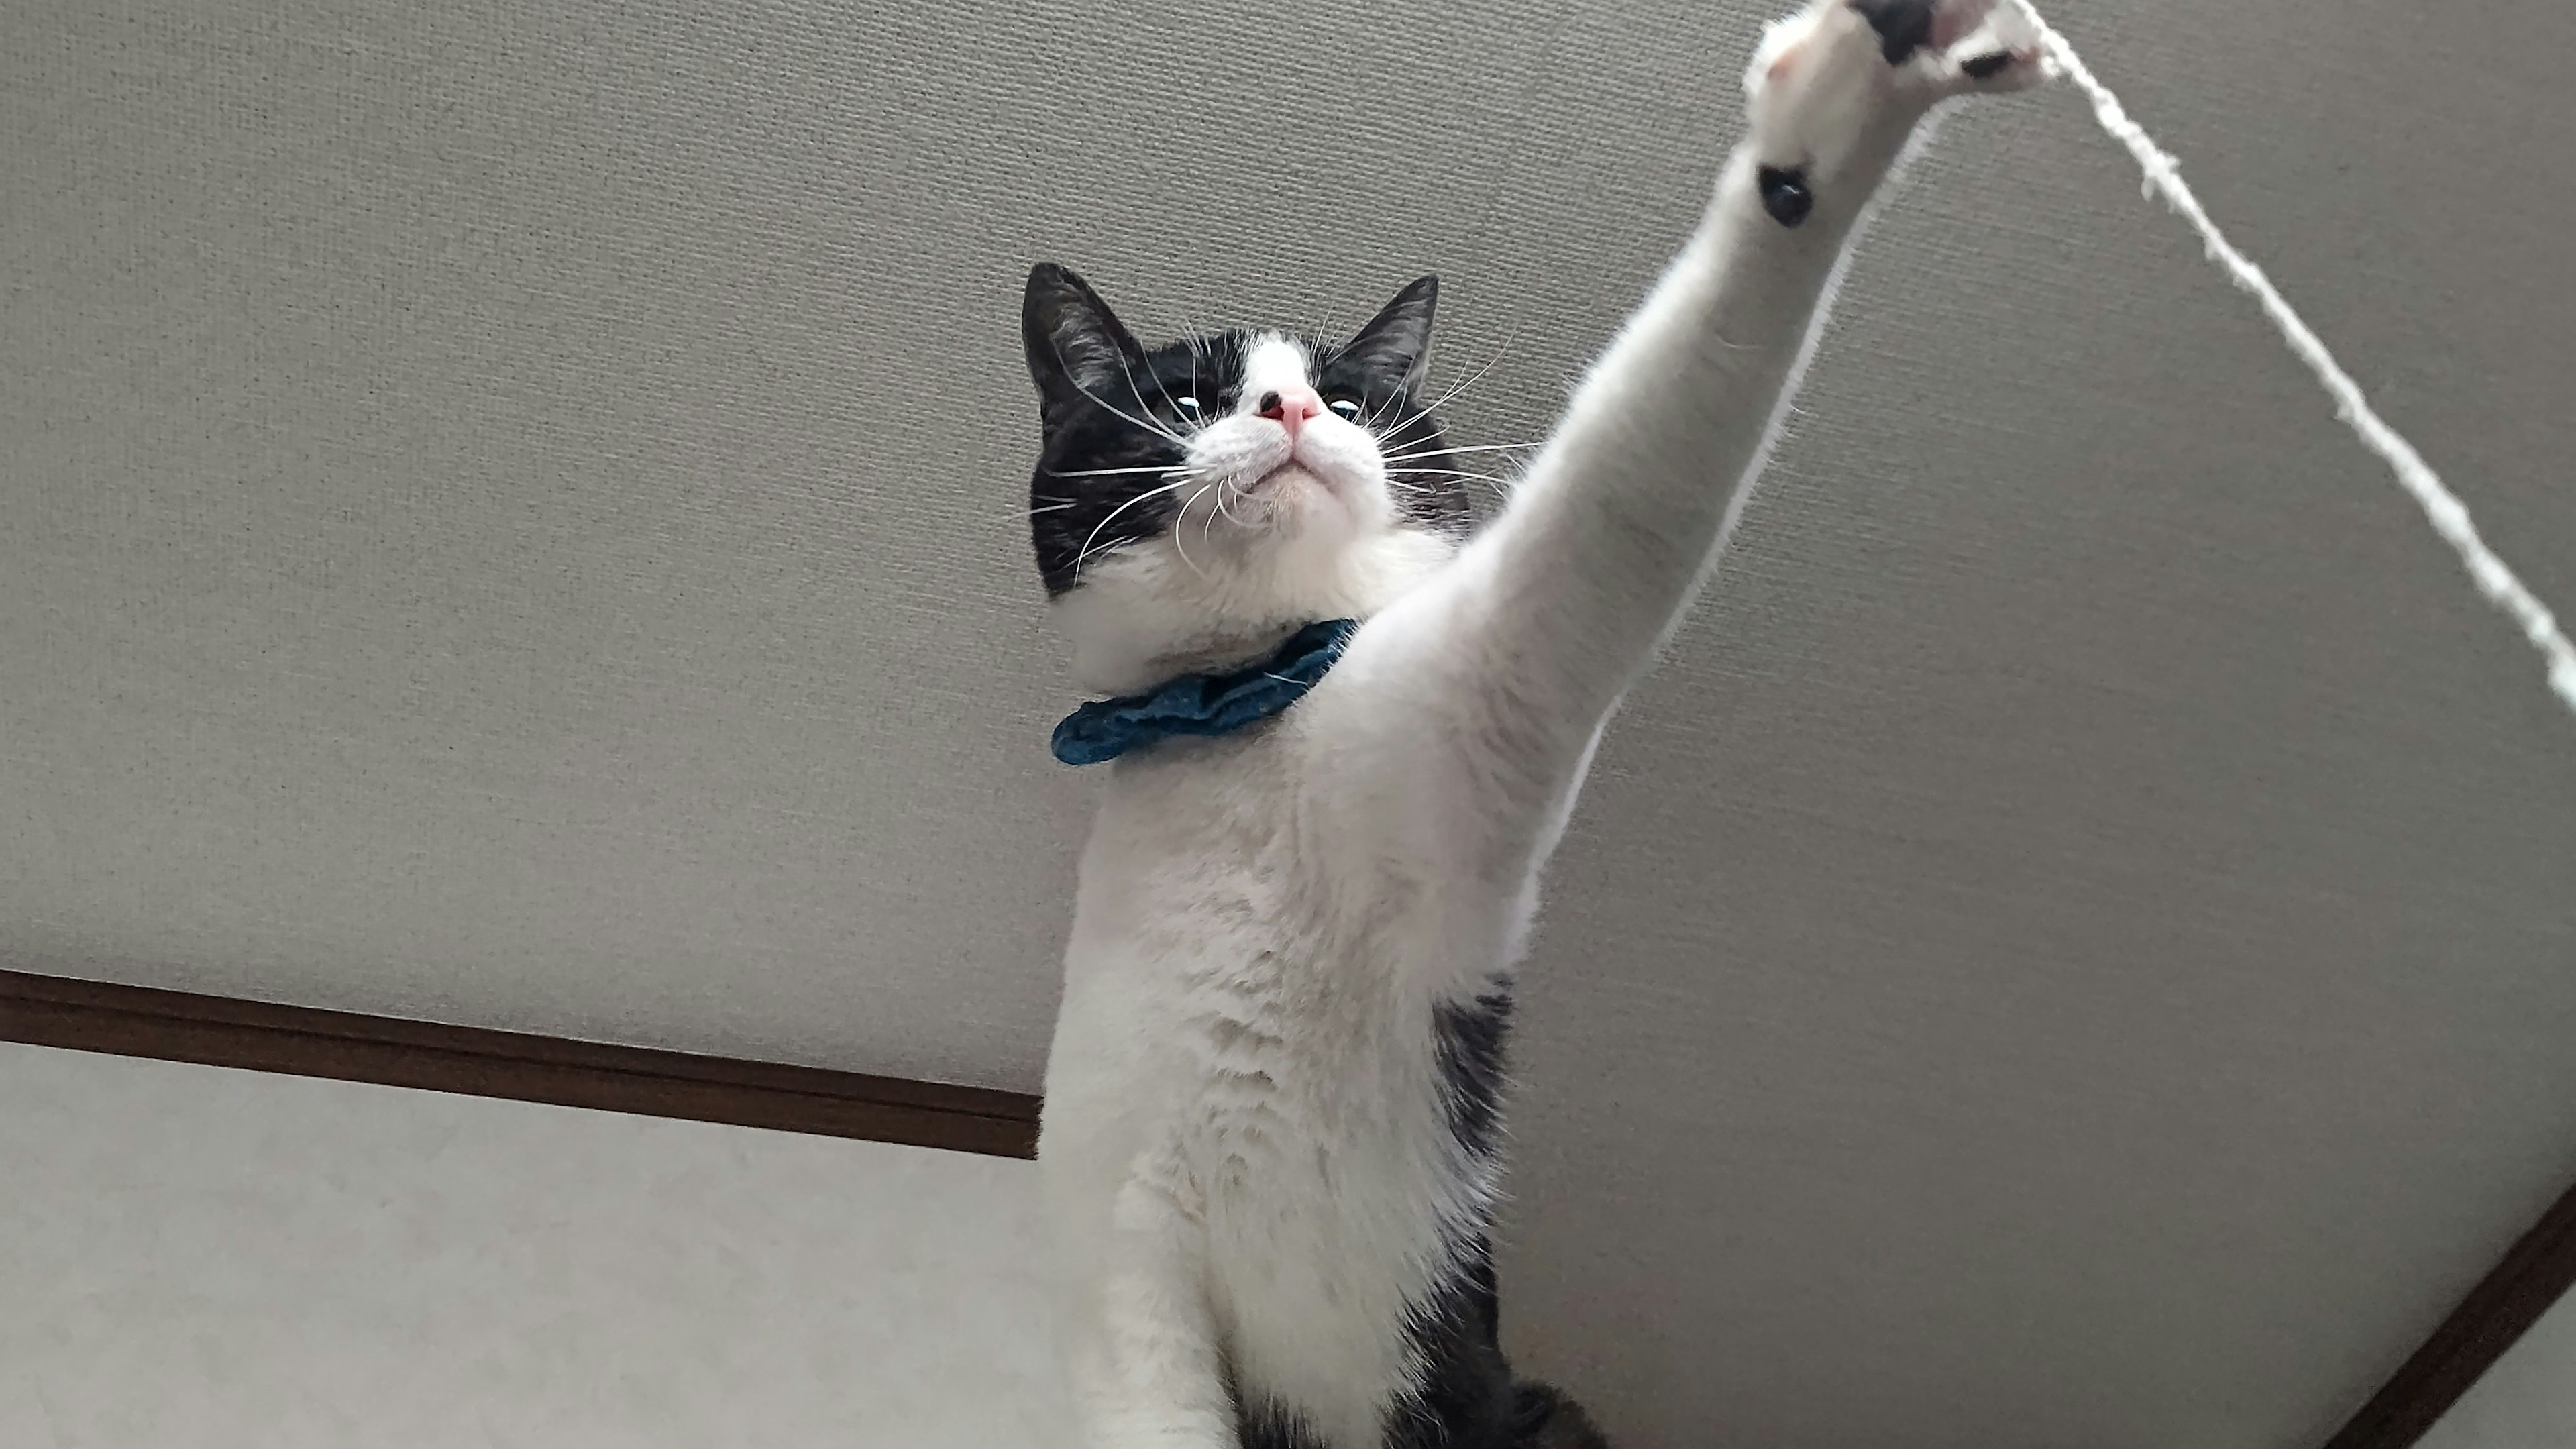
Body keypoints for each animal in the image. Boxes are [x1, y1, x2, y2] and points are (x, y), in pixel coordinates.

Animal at [1014, 5, 2040, 1433]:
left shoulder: (1486, 692)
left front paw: (1835, 110)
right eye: (1183, 402)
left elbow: (1624, 495)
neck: (1237, 711)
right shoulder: (1118, 1258)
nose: (1291, 410)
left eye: (1356, 402)